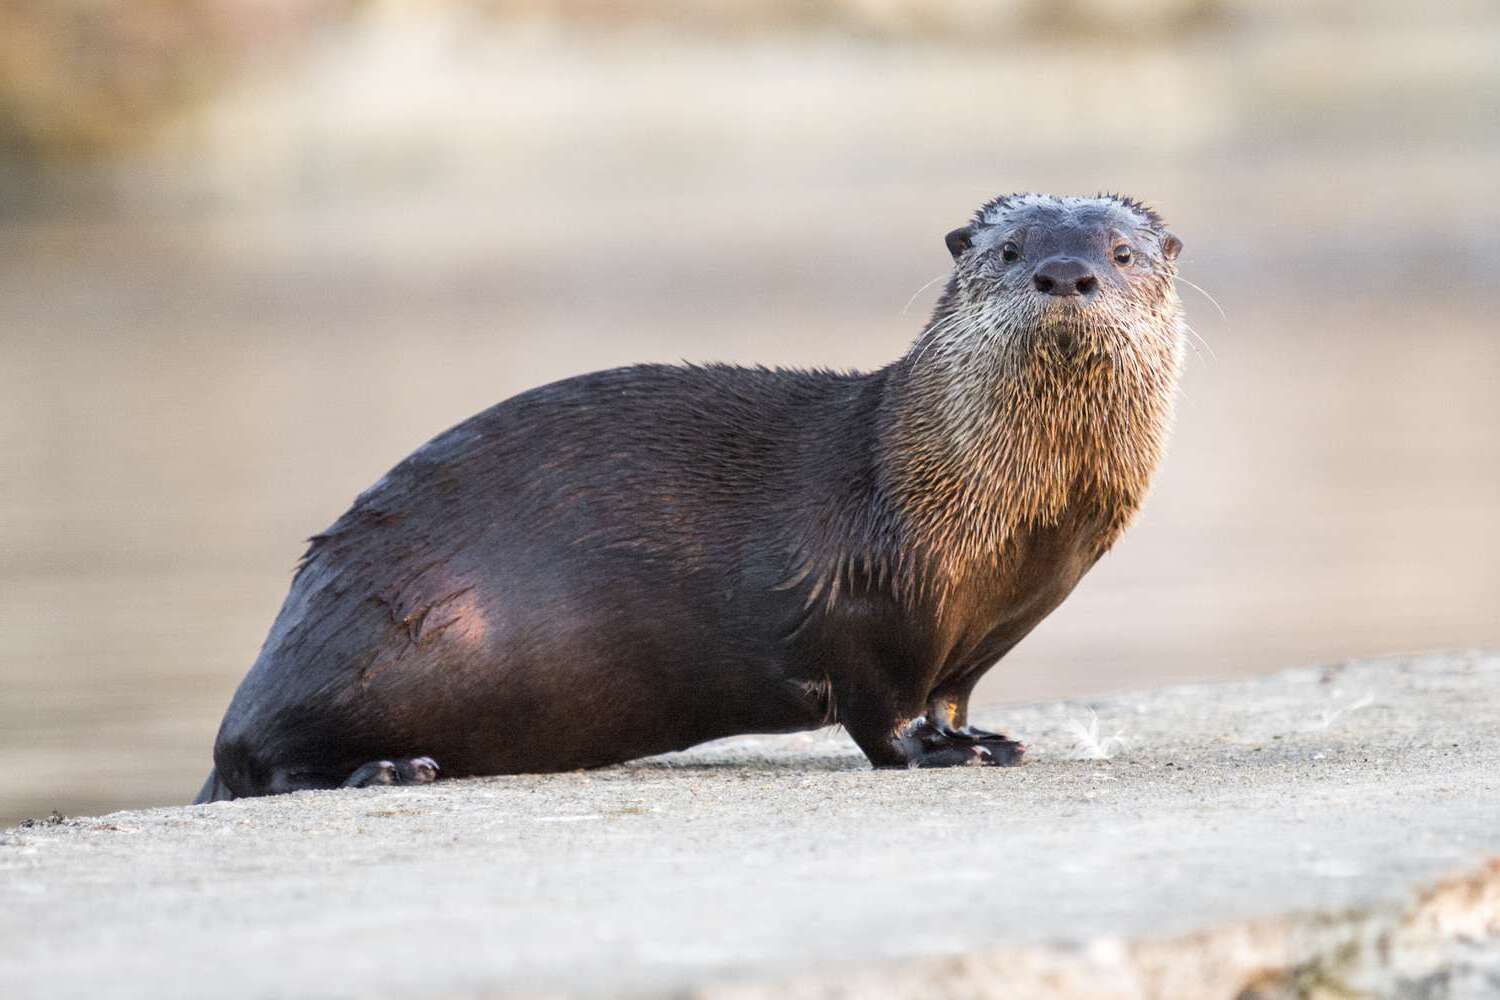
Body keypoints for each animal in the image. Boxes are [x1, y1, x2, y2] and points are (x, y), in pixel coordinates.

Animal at [196, 192, 1185, 802]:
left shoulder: (980, 631)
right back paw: (390, 770)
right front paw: (934, 754)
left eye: (1123, 252)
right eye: (1012, 250)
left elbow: (951, 694)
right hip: (358, 640)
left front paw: (984, 740)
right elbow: (883, 711)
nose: (1066, 272)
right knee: (252, 761)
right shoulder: (867, 596)